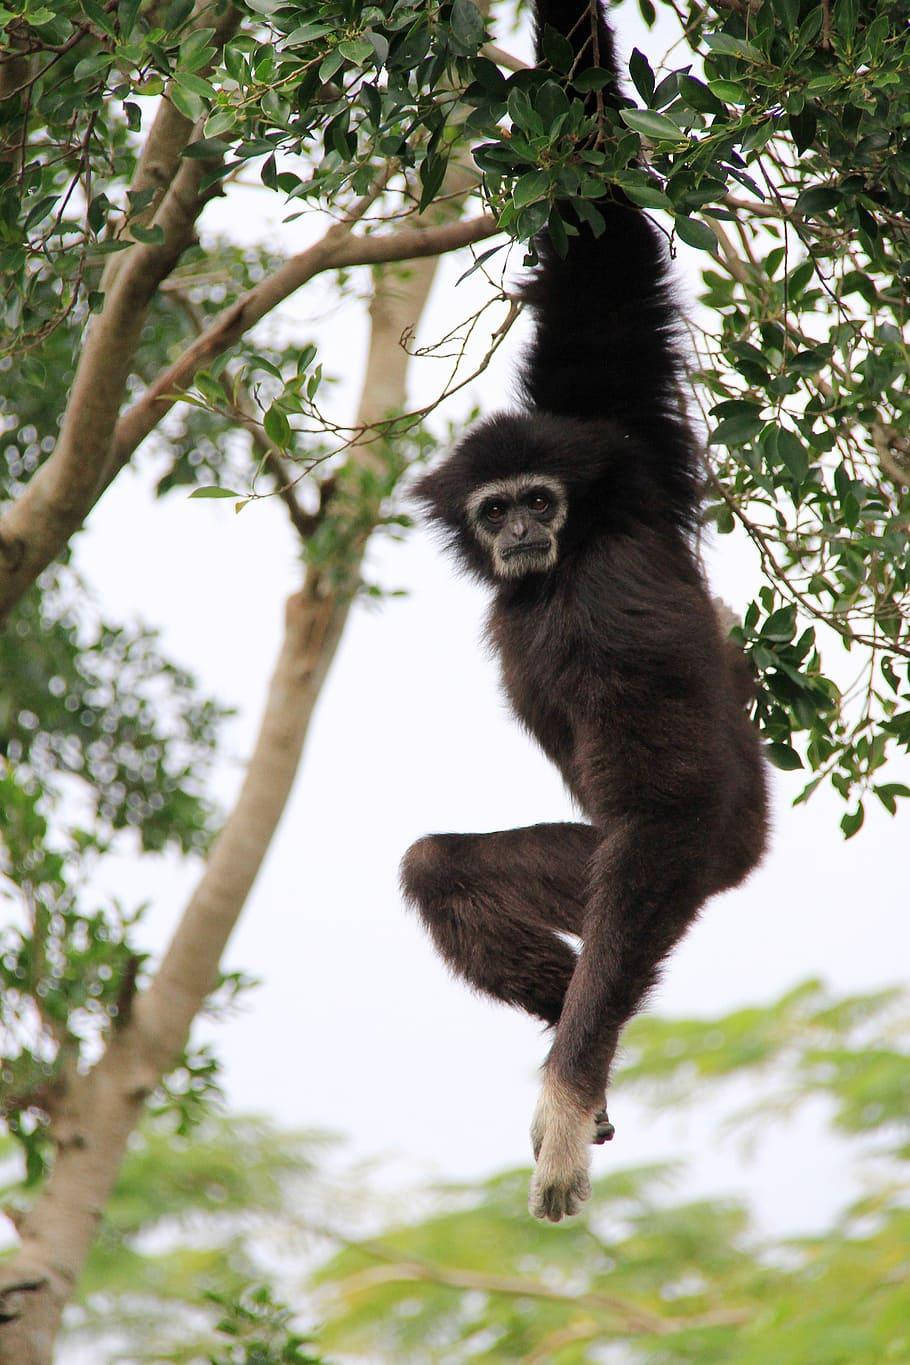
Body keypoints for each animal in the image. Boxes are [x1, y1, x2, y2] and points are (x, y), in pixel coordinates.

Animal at [400, 0, 769, 1222]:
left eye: (539, 502)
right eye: (496, 504)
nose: (518, 533)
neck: (567, 556)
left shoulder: (598, 602)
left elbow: (658, 801)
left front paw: (563, 1102)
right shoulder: (618, 432)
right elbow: (596, 220)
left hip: (698, 858)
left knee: (634, 852)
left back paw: (581, 1064)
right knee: (440, 866)